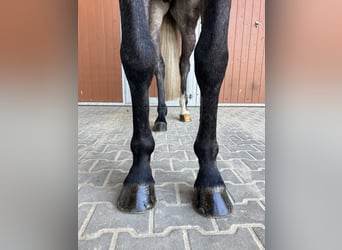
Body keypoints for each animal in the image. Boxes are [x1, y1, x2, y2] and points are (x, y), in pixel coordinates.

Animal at [117, 0, 232, 217]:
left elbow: (212, 59)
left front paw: (210, 180)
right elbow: (137, 54)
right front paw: (139, 176)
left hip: (188, 20)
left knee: (184, 62)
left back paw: (184, 110)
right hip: (156, 14)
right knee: (159, 63)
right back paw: (161, 117)